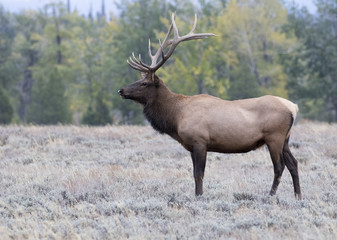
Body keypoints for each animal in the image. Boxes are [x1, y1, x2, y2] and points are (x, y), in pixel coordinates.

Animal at [118, 13, 302, 201]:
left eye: (144, 83)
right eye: (139, 79)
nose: (121, 90)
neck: (176, 116)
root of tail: (293, 107)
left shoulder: (200, 140)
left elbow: (199, 174)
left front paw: (199, 196)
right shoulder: (191, 146)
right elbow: (194, 174)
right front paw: (197, 195)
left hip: (274, 136)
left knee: (279, 166)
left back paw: (270, 195)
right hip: (285, 138)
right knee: (293, 163)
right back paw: (298, 196)